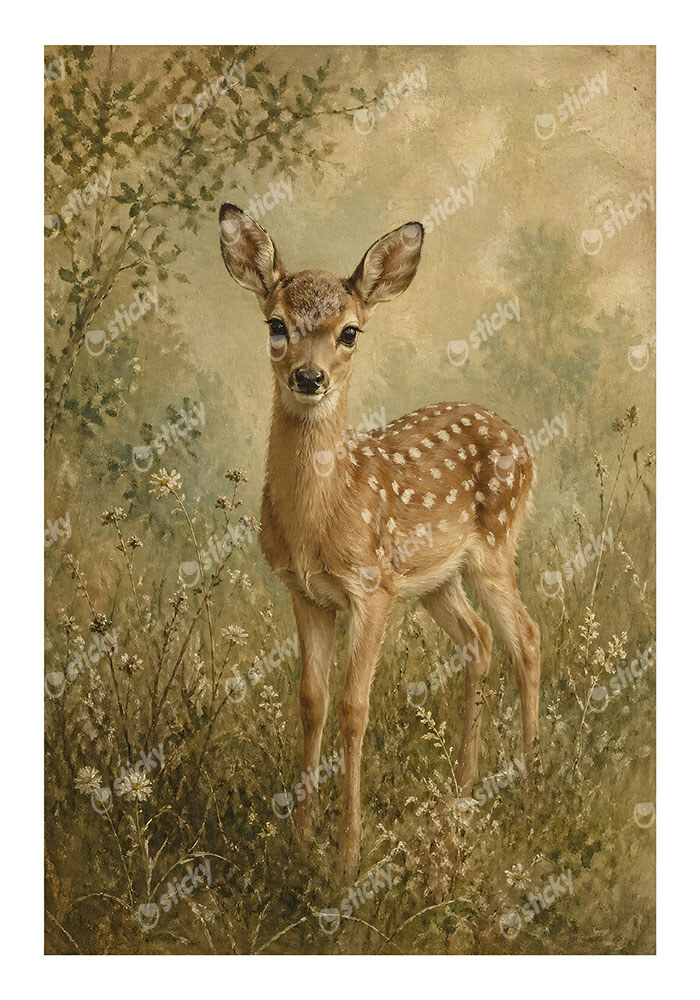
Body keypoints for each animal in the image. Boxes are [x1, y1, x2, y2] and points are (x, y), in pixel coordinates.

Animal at [218, 204, 541, 877]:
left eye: (350, 332)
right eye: (276, 324)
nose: (308, 377)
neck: (322, 515)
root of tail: (523, 442)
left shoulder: (371, 589)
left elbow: (353, 706)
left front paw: (347, 853)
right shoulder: (306, 592)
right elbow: (312, 700)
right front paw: (301, 839)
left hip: (494, 548)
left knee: (525, 639)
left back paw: (529, 785)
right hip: (436, 578)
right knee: (478, 640)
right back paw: (463, 790)